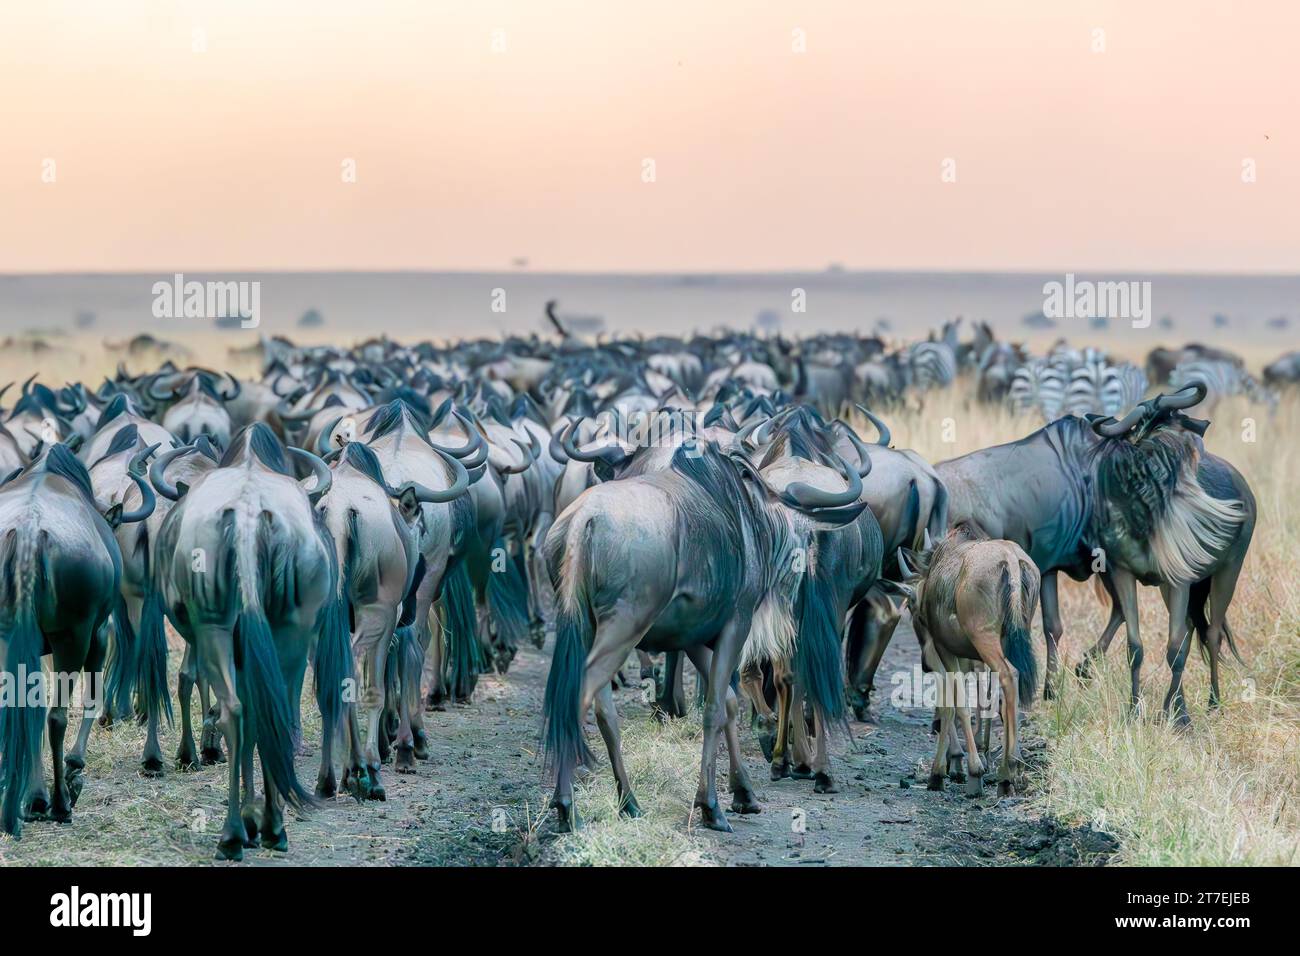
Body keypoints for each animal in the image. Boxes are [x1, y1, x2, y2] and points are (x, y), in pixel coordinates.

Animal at [894, 522, 1034, 801]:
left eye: (913, 608)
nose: (924, 664)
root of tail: (1012, 562)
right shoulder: (965, 657)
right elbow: (979, 702)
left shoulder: (945, 651)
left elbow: (955, 704)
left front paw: (956, 772)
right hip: (1014, 637)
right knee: (1010, 690)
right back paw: (1013, 768)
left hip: (985, 639)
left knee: (1008, 676)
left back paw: (1005, 772)